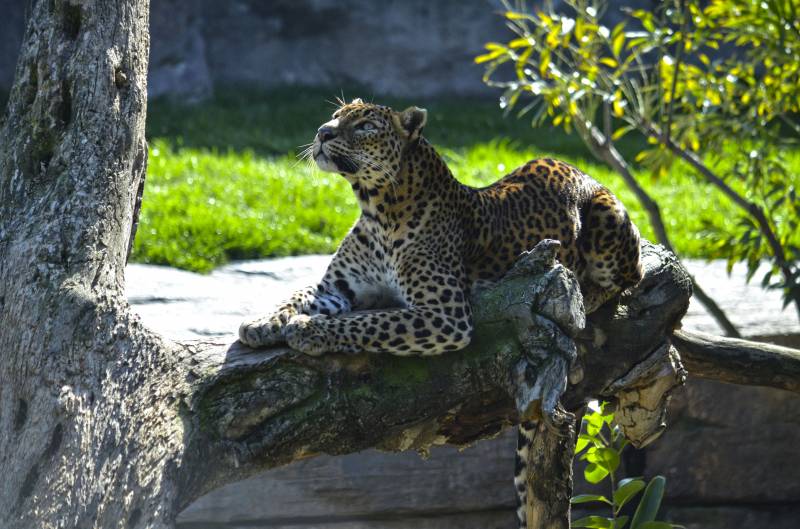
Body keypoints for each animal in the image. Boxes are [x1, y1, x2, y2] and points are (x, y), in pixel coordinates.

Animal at [238, 97, 644, 524]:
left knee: (631, 275)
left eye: (364, 125)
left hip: (607, 219)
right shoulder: (337, 287)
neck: (377, 209)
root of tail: (578, 168)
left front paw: (308, 330)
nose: (322, 132)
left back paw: (585, 292)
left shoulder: (446, 316)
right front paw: (261, 323)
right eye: (336, 116)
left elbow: (369, 322)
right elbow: (296, 295)